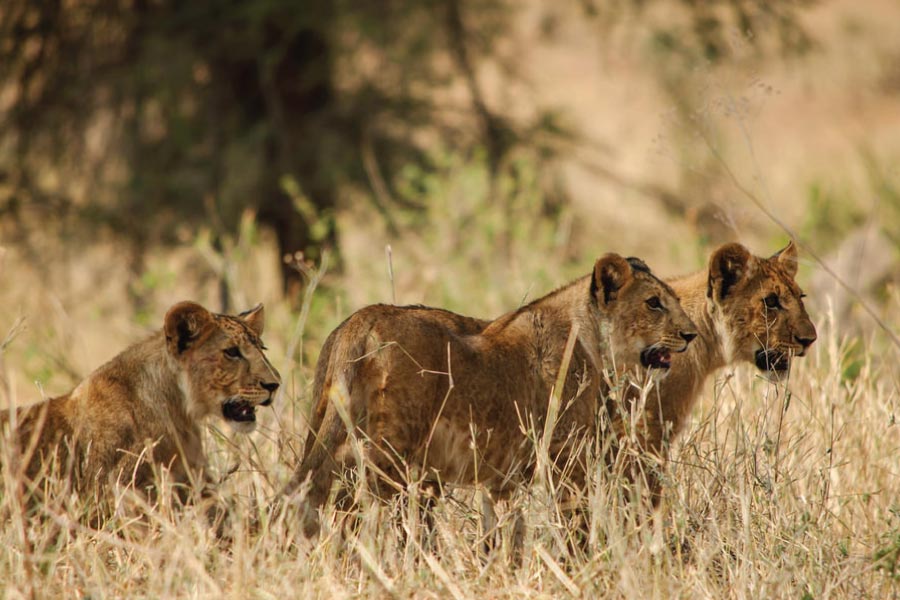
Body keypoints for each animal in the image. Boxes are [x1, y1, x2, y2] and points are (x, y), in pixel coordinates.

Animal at [281, 254, 699, 537]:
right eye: (653, 303)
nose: (692, 334)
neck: (591, 340)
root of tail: (361, 319)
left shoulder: (504, 473)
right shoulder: (565, 459)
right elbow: (572, 521)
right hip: (391, 451)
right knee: (356, 506)